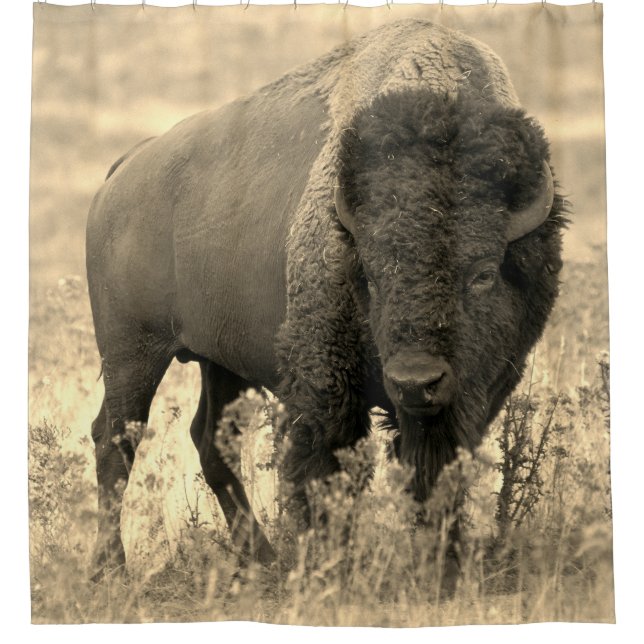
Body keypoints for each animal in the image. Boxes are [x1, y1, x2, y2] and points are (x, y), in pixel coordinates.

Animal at [86, 19, 565, 575]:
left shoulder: (470, 396)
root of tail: (122, 172)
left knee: (209, 439)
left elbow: (436, 475)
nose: (414, 381)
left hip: (218, 362)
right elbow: (324, 472)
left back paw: (261, 558)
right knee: (116, 437)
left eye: (484, 274)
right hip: (133, 353)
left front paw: (439, 566)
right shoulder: (325, 389)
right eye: (371, 275)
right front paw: (328, 565)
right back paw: (113, 568)